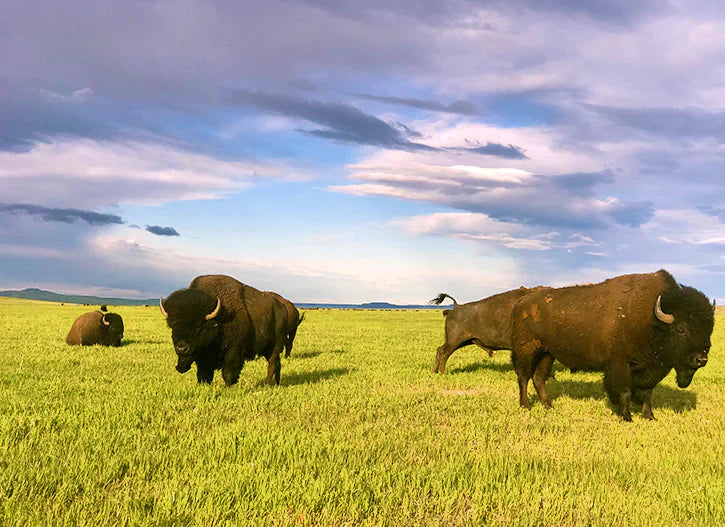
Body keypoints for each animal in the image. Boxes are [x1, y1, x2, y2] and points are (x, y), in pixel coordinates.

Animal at [160, 274, 288, 386]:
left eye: (198, 326)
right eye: (173, 326)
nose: (182, 348)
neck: (219, 319)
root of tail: (282, 307)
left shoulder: (234, 349)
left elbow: (228, 372)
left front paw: (228, 386)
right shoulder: (204, 357)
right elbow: (204, 373)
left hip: (275, 346)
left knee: (272, 363)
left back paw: (267, 384)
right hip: (267, 349)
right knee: (277, 364)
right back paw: (276, 383)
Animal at [510, 270, 714, 421]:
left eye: (710, 328)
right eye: (681, 329)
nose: (701, 359)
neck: (651, 320)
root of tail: (521, 302)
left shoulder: (649, 370)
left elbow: (647, 394)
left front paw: (649, 416)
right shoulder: (620, 365)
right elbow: (625, 392)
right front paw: (627, 417)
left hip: (547, 353)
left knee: (538, 377)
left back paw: (548, 405)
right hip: (528, 351)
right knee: (524, 376)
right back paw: (526, 405)